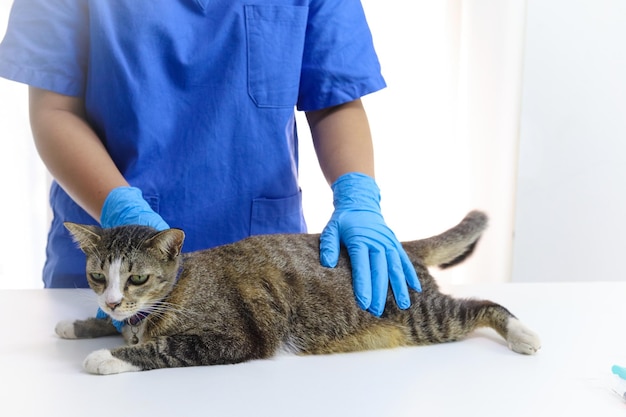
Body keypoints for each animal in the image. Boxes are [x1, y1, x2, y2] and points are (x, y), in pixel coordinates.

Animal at [56, 210, 540, 376]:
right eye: (98, 277)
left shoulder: (233, 338)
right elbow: (116, 327)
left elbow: (162, 349)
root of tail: (399, 246)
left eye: (136, 279)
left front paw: (108, 356)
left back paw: (523, 334)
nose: (111, 300)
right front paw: (79, 325)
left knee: (484, 307)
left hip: (423, 316)